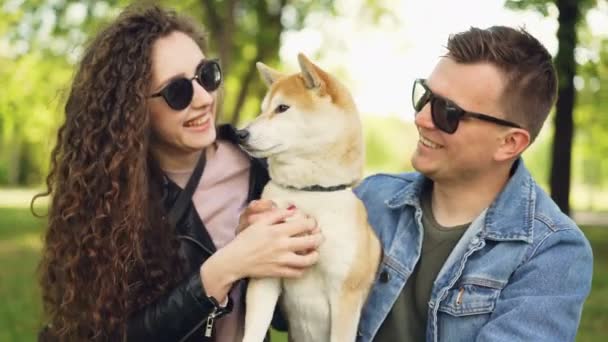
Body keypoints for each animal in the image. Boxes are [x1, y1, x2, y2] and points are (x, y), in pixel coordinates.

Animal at [236, 53, 380, 342]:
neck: (309, 192)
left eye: (282, 108)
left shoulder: (346, 296)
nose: (240, 134)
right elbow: (254, 330)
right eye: (263, 108)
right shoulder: (267, 273)